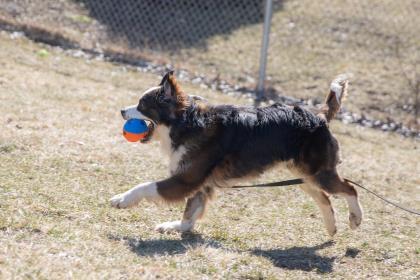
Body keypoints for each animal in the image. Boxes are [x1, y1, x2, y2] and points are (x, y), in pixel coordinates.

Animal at [110, 71, 362, 235]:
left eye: (142, 105)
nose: (121, 110)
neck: (186, 123)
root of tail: (318, 116)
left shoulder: (187, 179)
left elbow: (146, 186)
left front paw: (122, 199)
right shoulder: (201, 183)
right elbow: (191, 211)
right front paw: (178, 227)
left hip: (319, 173)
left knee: (349, 189)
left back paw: (355, 218)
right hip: (304, 175)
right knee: (325, 198)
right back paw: (331, 227)